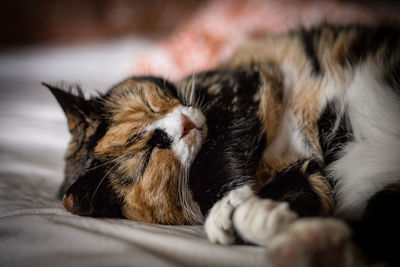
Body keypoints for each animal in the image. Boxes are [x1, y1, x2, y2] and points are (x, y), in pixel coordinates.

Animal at [45, 24, 400, 266]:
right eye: (148, 154)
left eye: (150, 102)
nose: (185, 124)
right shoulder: (312, 175)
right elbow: (310, 190)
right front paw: (260, 216)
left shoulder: (243, 82)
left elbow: (213, 149)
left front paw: (228, 207)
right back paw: (313, 245)